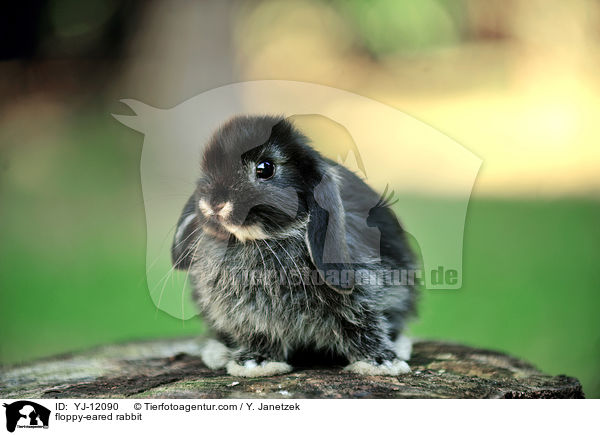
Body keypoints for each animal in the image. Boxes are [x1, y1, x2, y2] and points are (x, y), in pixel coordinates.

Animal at [171, 116, 420, 378]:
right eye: (207, 169)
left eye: (265, 168)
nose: (213, 204)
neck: (266, 238)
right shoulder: (246, 315)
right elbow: (258, 334)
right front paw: (255, 363)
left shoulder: (362, 299)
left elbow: (365, 326)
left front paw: (381, 363)